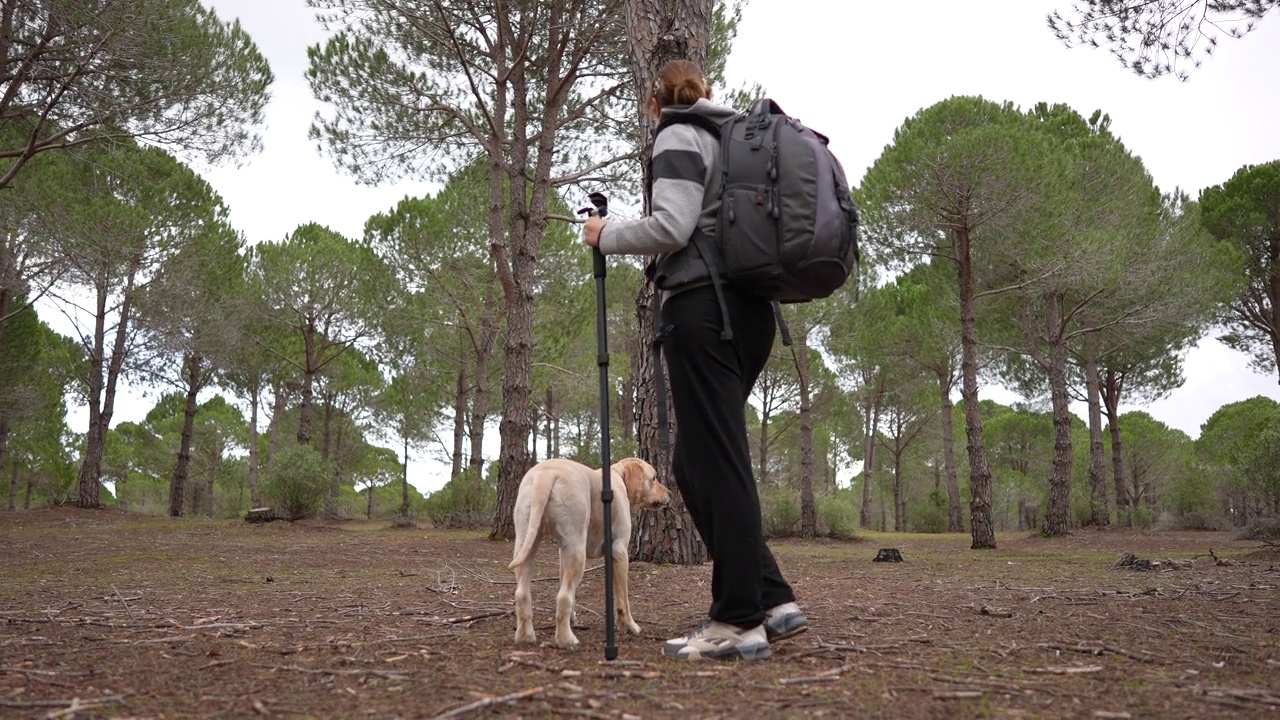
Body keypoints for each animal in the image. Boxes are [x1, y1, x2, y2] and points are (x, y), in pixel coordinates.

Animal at [506, 456, 675, 648]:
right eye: (653, 478)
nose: (670, 493)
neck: (618, 477)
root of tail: (546, 474)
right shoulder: (619, 552)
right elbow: (622, 600)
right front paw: (630, 626)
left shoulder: (563, 553)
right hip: (577, 551)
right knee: (563, 596)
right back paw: (566, 639)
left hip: (526, 544)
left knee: (522, 594)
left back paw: (525, 636)